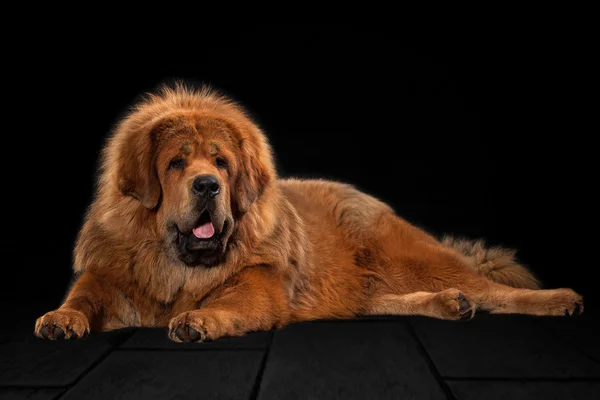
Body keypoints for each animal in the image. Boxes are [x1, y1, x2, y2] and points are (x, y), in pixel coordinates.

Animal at [35, 83, 584, 340]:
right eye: (175, 164)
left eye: (221, 162)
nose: (208, 185)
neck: (176, 267)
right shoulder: (107, 275)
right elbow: (83, 297)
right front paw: (61, 318)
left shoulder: (259, 285)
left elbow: (229, 303)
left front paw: (199, 320)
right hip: (364, 285)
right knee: (379, 301)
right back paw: (449, 304)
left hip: (407, 257)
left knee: (493, 289)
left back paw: (559, 299)